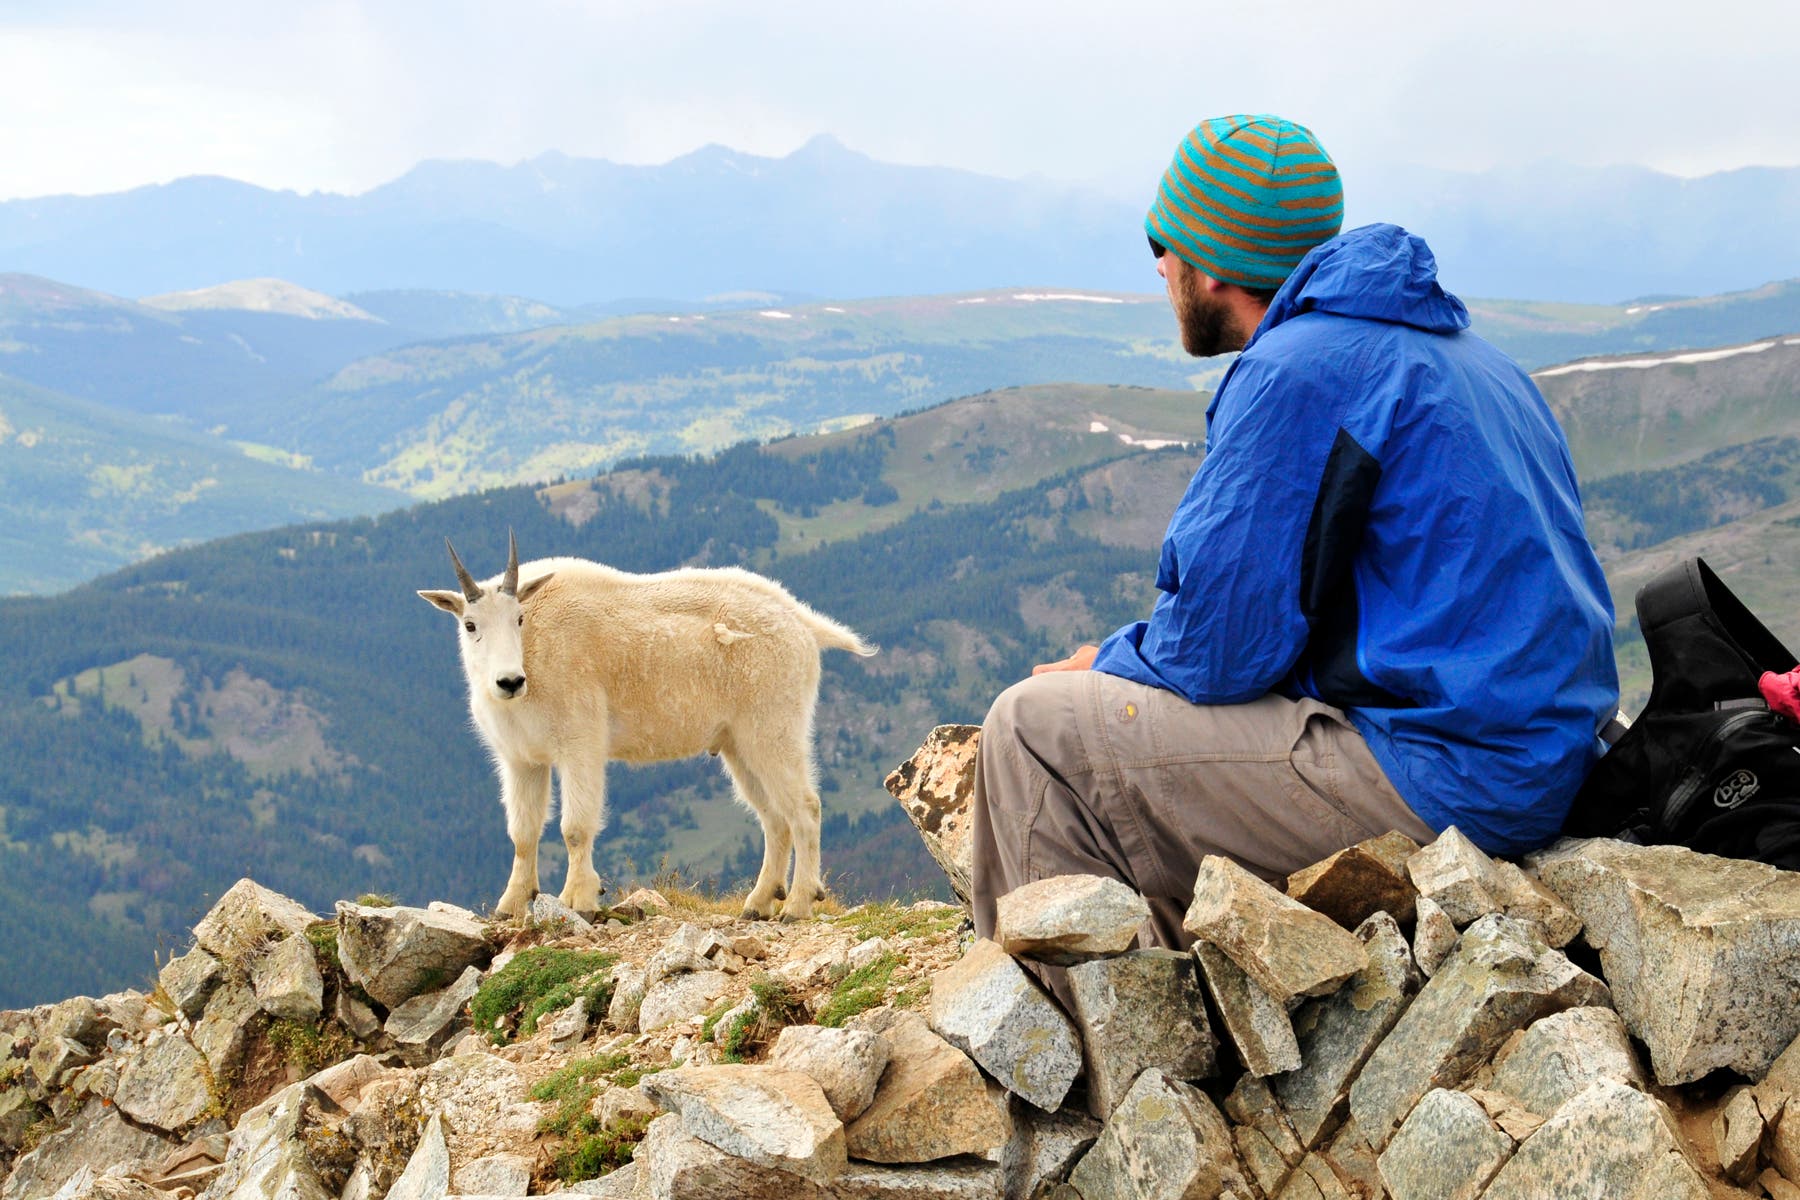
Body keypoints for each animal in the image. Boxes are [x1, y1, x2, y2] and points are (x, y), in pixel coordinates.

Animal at [418, 533, 876, 921]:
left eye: (519, 618)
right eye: (470, 624)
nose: (509, 681)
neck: (533, 654)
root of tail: (801, 624)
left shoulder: (580, 745)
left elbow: (574, 828)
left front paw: (579, 900)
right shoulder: (521, 759)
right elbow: (523, 833)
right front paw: (510, 904)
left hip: (773, 728)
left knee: (805, 808)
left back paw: (797, 904)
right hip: (738, 744)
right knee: (773, 818)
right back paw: (758, 903)